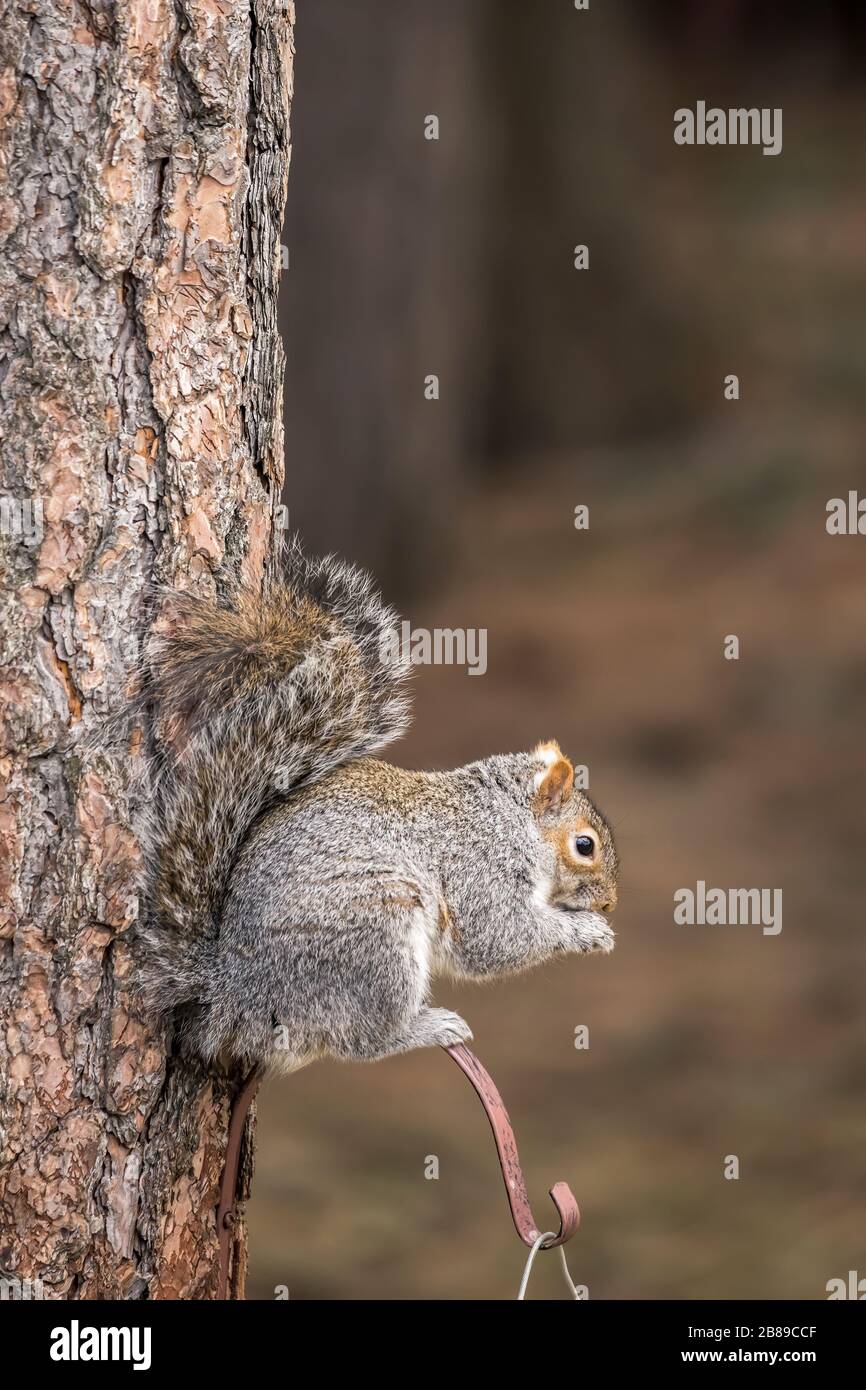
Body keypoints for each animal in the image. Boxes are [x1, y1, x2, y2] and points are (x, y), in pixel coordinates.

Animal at [139, 536, 617, 1067]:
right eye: (585, 846)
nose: (612, 902)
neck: (510, 819)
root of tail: (235, 991)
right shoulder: (481, 868)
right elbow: (499, 937)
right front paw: (588, 931)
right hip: (378, 933)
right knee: (363, 1041)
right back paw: (427, 1027)